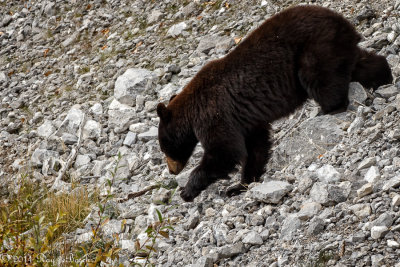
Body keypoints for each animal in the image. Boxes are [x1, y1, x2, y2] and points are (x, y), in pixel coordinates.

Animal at [155, 5, 390, 202]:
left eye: (164, 147)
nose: (172, 170)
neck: (191, 113)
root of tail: (342, 20)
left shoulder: (213, 113)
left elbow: (224, 151)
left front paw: (188, 190)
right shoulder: (246, 121)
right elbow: (256, 147)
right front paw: (239, 185)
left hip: (314, 49)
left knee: (322, 80)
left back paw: (329, 110)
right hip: (339, 48)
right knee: (361, 64)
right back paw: (384, 77)